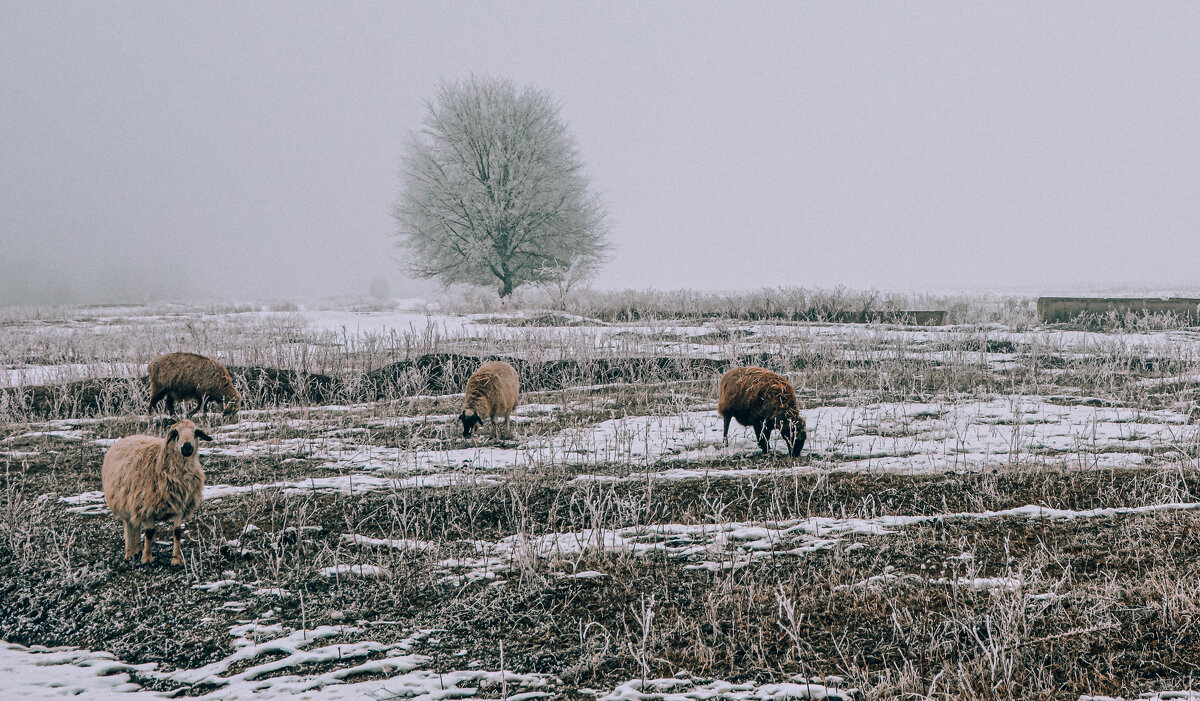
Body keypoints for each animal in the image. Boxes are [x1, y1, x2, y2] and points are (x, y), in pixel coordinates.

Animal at [102, 415, 210, 564]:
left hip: (135, 503)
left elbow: (177, 532)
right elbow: (149, 533)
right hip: (123, 500)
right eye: (176, 433)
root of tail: (126, 438)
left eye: (195, 433)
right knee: (128, 525)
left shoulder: (179, 506)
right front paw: (147, 558)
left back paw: (137, 549)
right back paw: (129, 553)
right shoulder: (148, 506)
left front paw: (176, 559)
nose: (187, 447)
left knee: (135, 525)